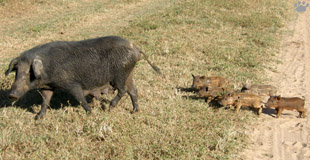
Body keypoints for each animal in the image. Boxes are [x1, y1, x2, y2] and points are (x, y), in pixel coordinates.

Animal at [5, 36, 160, 119]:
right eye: (16, 72)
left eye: (28, 73)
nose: (11, 95)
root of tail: (136, 49)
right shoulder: (48, 87)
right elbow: (45, 100)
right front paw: (38, 118)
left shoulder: (72, 84)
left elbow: (79, 98)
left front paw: (91, 113)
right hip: (129, 73)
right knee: (133, 90)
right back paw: (135, 111)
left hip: (119, 74)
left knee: (123, 90)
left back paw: (109, 108)